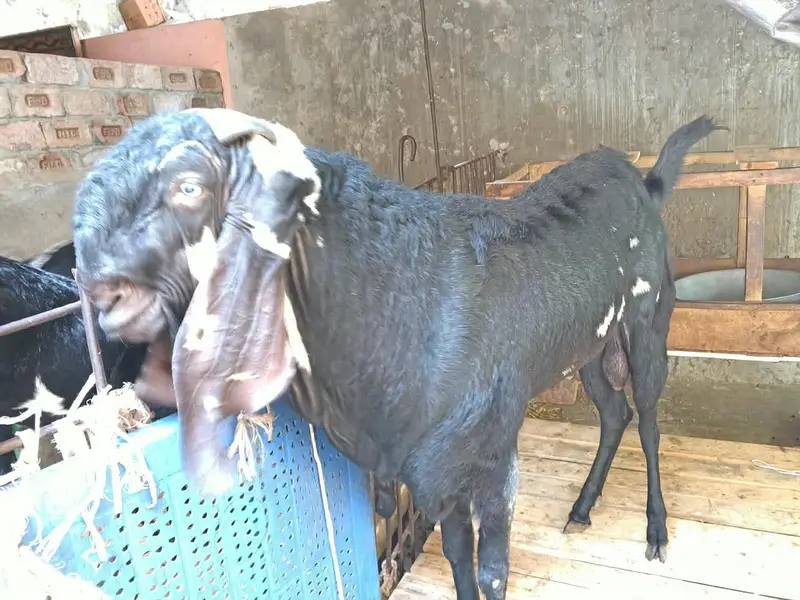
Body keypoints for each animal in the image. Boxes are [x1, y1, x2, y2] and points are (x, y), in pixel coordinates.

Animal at [71, 108, 716, 600]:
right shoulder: (434, 468)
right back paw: (582, 507)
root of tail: (640, 179)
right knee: (614, 412)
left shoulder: (490, 452)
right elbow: (457, 555)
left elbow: (492, 570)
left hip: (649, 320)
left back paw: (656, 531)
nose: (103, 290)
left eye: (189, 187)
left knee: (649, 417)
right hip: (589, 346)